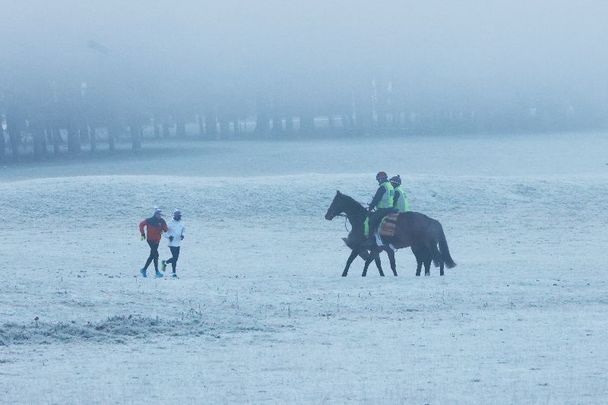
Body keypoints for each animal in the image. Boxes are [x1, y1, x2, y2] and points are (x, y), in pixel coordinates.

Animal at [326, 191, 454, 276]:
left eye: (335, 202)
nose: (327, 215)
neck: (361, 221)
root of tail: (432, 221)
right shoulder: (381, 249)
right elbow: (381, 263)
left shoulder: (362, 247)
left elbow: (353, 260)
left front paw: (346, 274)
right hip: (419, 246)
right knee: (425, 260)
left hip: (426, 246)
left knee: (436, 259)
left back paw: (439, 274)